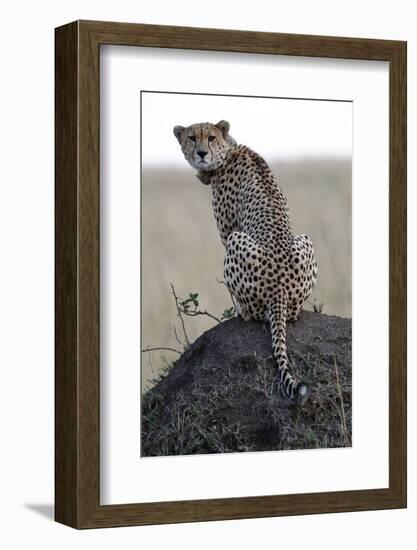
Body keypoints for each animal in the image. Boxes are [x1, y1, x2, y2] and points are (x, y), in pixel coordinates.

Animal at [174, 121, 316, 406]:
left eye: (210, 138)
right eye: (192, 138)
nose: (201, 153)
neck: (228, 150)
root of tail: (279, 291)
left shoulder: (228, 230)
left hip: (236, 241)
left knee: (252, 313)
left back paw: (240, 311)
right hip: (305, 240)